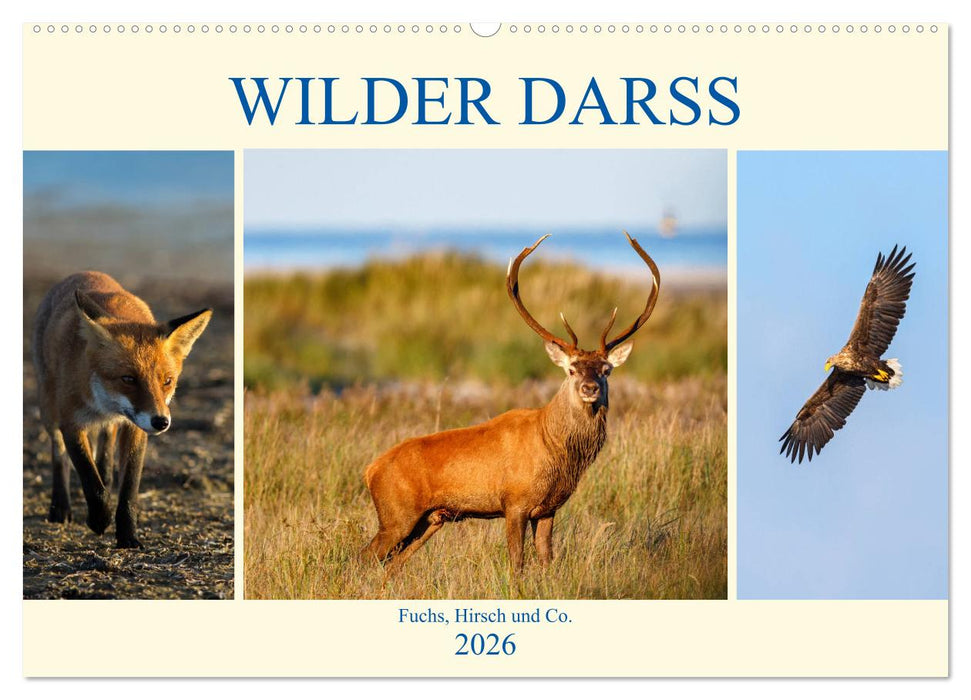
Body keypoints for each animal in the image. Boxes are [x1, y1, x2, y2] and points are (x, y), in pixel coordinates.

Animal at [32, 271, 212, 548]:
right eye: (128, 379)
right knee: (59, 455)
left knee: (105, 448)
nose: (161, 422)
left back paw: (105, 477)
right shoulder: (71, 423)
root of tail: (83, 272)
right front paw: (99, 520)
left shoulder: (134, 426)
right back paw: (60, 507)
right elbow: (89, 478)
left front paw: (128, 536)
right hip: (49, 409)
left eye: (167, 381)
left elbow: (129, 486)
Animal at [362, 232, 660, 574]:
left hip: (429, 520)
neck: (557, 451)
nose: (590, 388)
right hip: (397, 515)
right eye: (572, 369)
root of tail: (370, 470)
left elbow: (546, 559)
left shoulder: (548, 509)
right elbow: (517, 562)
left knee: (392, 564)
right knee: (365, 556)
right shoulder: (514, 502)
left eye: (606, 369)